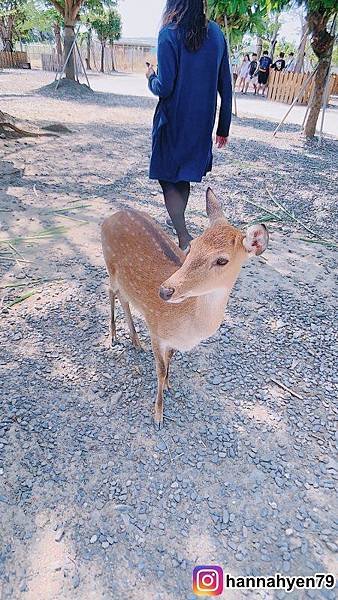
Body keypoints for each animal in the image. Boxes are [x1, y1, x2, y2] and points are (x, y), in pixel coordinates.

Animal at [101, 188, 268, 426]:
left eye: (222, 260)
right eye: (192, 245)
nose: (164, 291)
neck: (187, 328)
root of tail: (110, 217)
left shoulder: (171, 341)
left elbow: (170, 359)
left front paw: (169, 385)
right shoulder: (156, 330)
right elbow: (160, 370)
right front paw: (158, 415)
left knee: (124, 297)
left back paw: (135, 342)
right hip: (110, 266)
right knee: (110, 291)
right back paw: (113, 336)